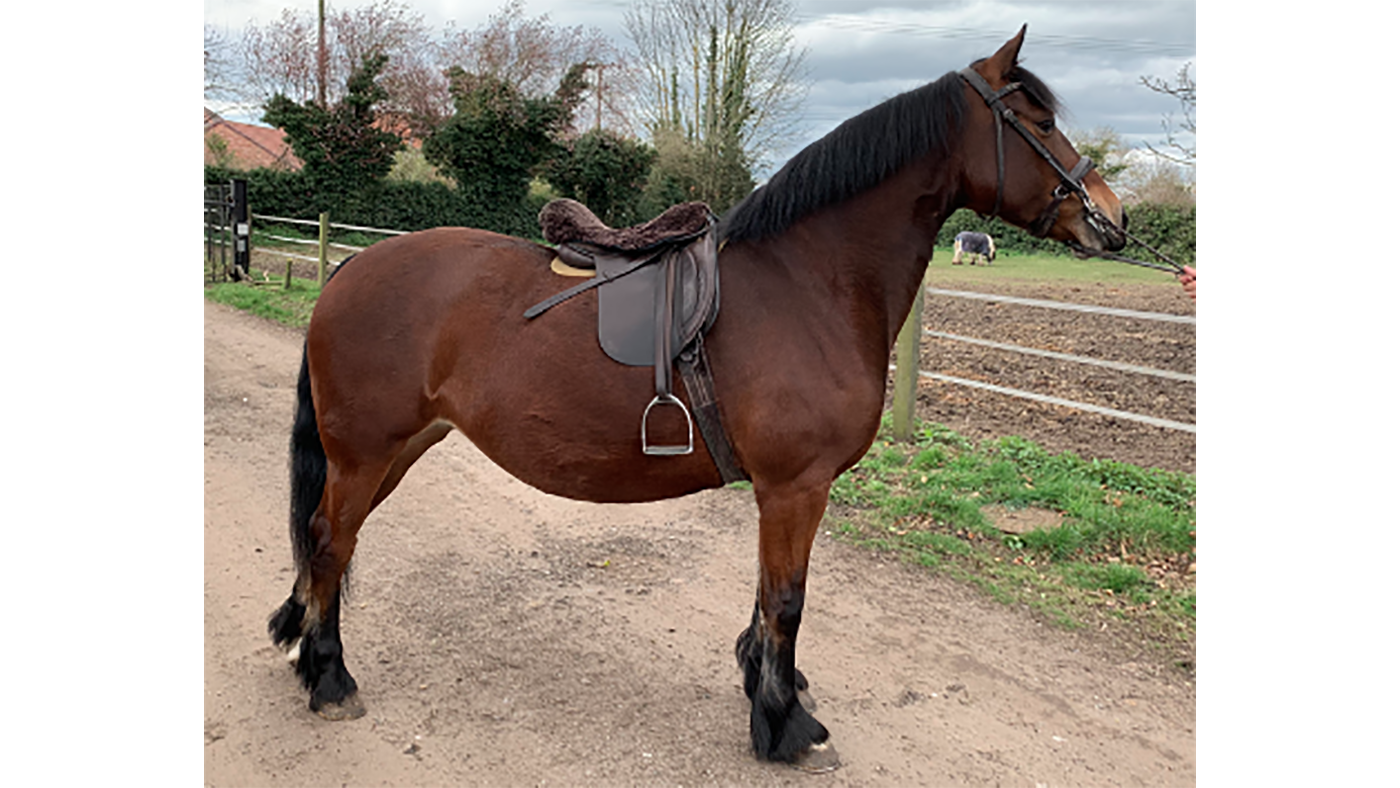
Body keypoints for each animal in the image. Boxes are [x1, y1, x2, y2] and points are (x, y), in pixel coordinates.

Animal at [267, 26, 1126, 771]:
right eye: (1038, 120)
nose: (1111, 219)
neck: (808, 282)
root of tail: (352, 267)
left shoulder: (785, 494)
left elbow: (768, 601)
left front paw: (766, 684)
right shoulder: (796, 488)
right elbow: (786, 603)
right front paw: (783, 724)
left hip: (395, 449)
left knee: (325, 542)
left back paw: (301, 642)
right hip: (365, 451)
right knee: (332, 541)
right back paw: (330, 677)